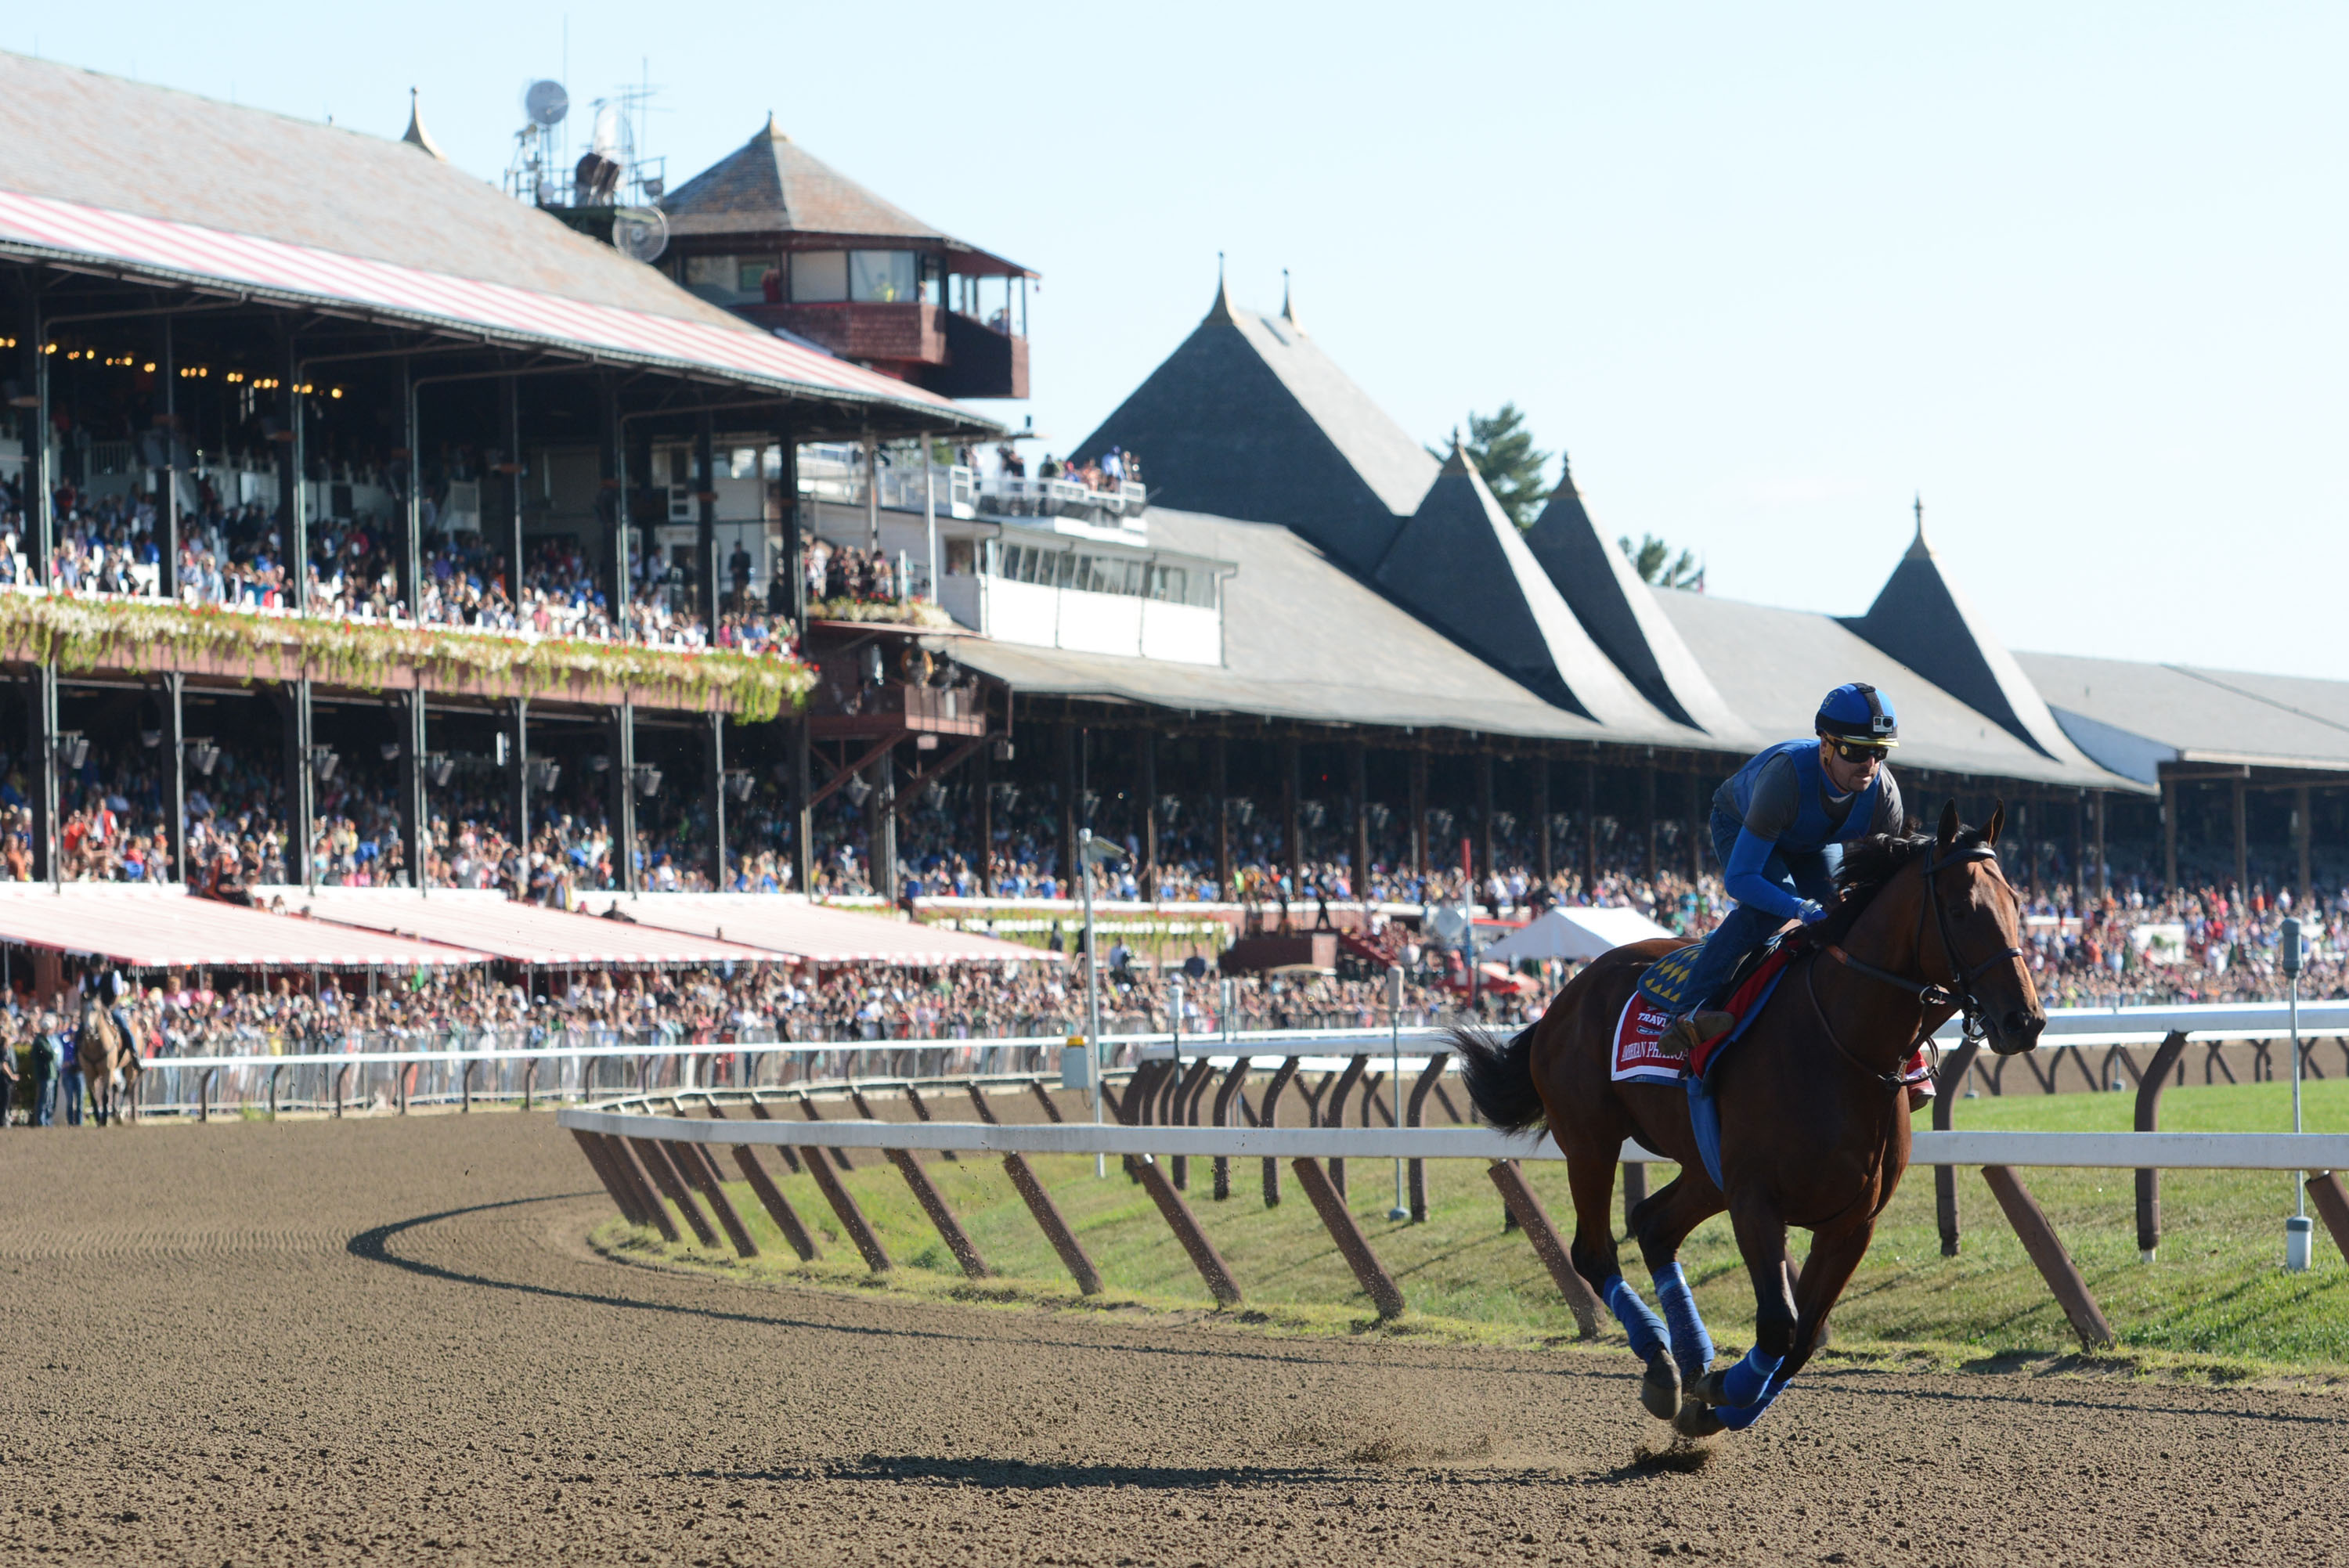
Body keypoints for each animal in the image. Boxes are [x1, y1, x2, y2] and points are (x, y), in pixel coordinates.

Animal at [1456, 807, 2048, 1436]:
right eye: (1960, 910)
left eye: (2015, 904)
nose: (2026, 1020)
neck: (1842, 1042)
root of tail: (1564, 996)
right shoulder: (1756, 1199)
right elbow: (1779, 1324)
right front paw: (1722, 1388)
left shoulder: (1853, 1221)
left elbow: (1803, 1339)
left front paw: (1717, 1398)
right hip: (1592, 1141)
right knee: (1595, 1251)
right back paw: (1663, 1365)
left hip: (1704, 1168)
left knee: (1653, 1226)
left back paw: (1690, 1358)